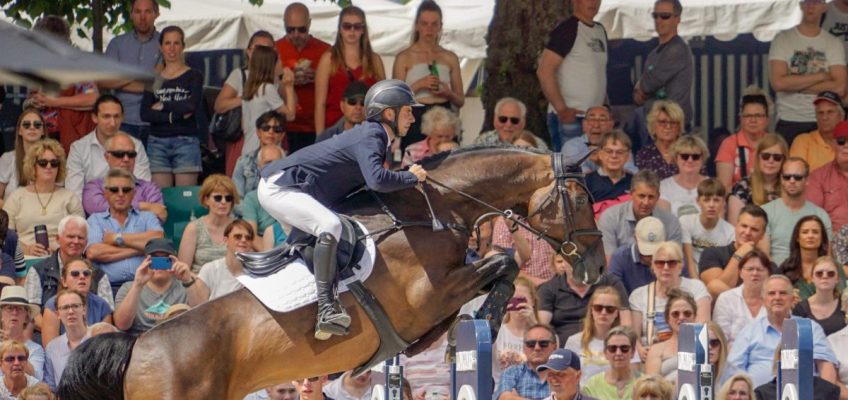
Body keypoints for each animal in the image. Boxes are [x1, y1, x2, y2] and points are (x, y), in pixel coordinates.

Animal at [58, 147, 604, 400]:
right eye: (580, 199)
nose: (597, 266)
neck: (432, 208)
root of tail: (137, 345)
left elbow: (492, 275)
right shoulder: (431, 292)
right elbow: (504, 263)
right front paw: (489, 311)